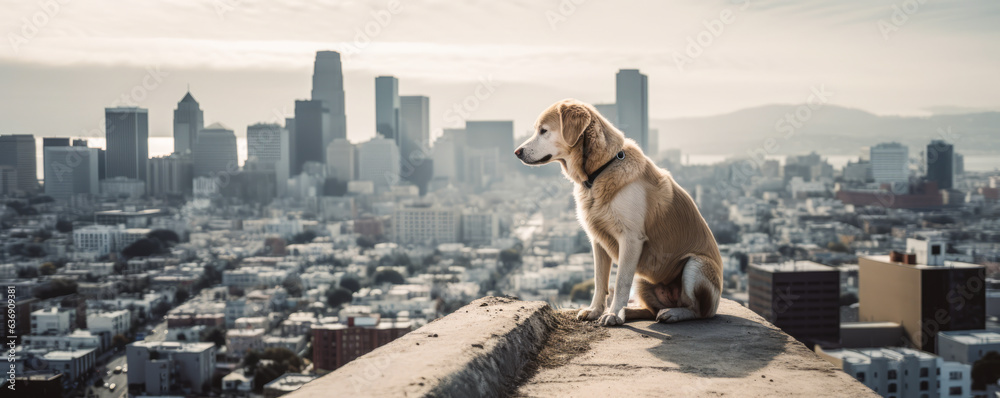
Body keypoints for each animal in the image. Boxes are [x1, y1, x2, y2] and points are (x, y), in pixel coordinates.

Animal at [516, 98, 720, 324]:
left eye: (543, 130)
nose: (517, 152)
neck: (600, 171)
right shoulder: (597, 240)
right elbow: (599, 281)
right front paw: (595, 310)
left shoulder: (631, 239)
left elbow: (621, 281)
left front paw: (612, 314)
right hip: (644, 278)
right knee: (651, 310)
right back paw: (631, 312)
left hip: (696, 265)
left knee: (697, 310)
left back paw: (673, 313)